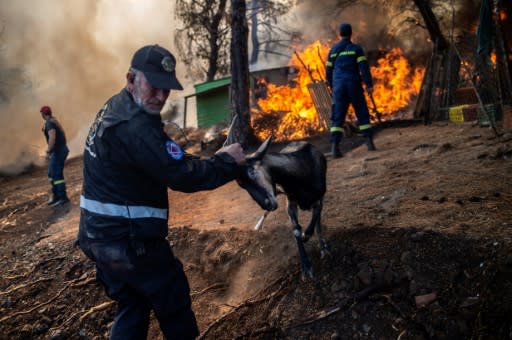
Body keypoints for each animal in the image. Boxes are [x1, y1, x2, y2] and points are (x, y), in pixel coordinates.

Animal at [233, 133, 326, 278]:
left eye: (252, 171)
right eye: (242, 185)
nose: (266, 204)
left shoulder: (319, 196)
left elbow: (317, 218)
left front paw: (316, 243)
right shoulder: (290, 200)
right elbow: (296, 229)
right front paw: (306, 267)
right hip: (277, 190)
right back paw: (258, 226)